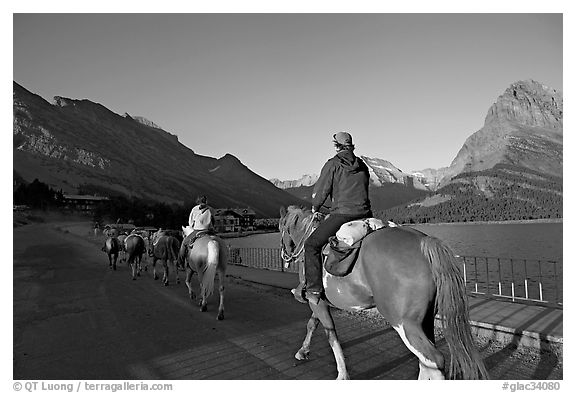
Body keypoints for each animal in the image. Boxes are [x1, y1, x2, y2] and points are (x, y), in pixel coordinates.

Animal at [280, 205, 486, 380]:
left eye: (282, 227)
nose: (285, 255)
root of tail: (424, 242)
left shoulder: (316, 300)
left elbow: (331, 336)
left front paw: (342, 375)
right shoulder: (320, 302)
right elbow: (312, 324)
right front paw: (303, 351)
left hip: (404, 322)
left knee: (433, 360)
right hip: (425, 319)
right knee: (427, 362)